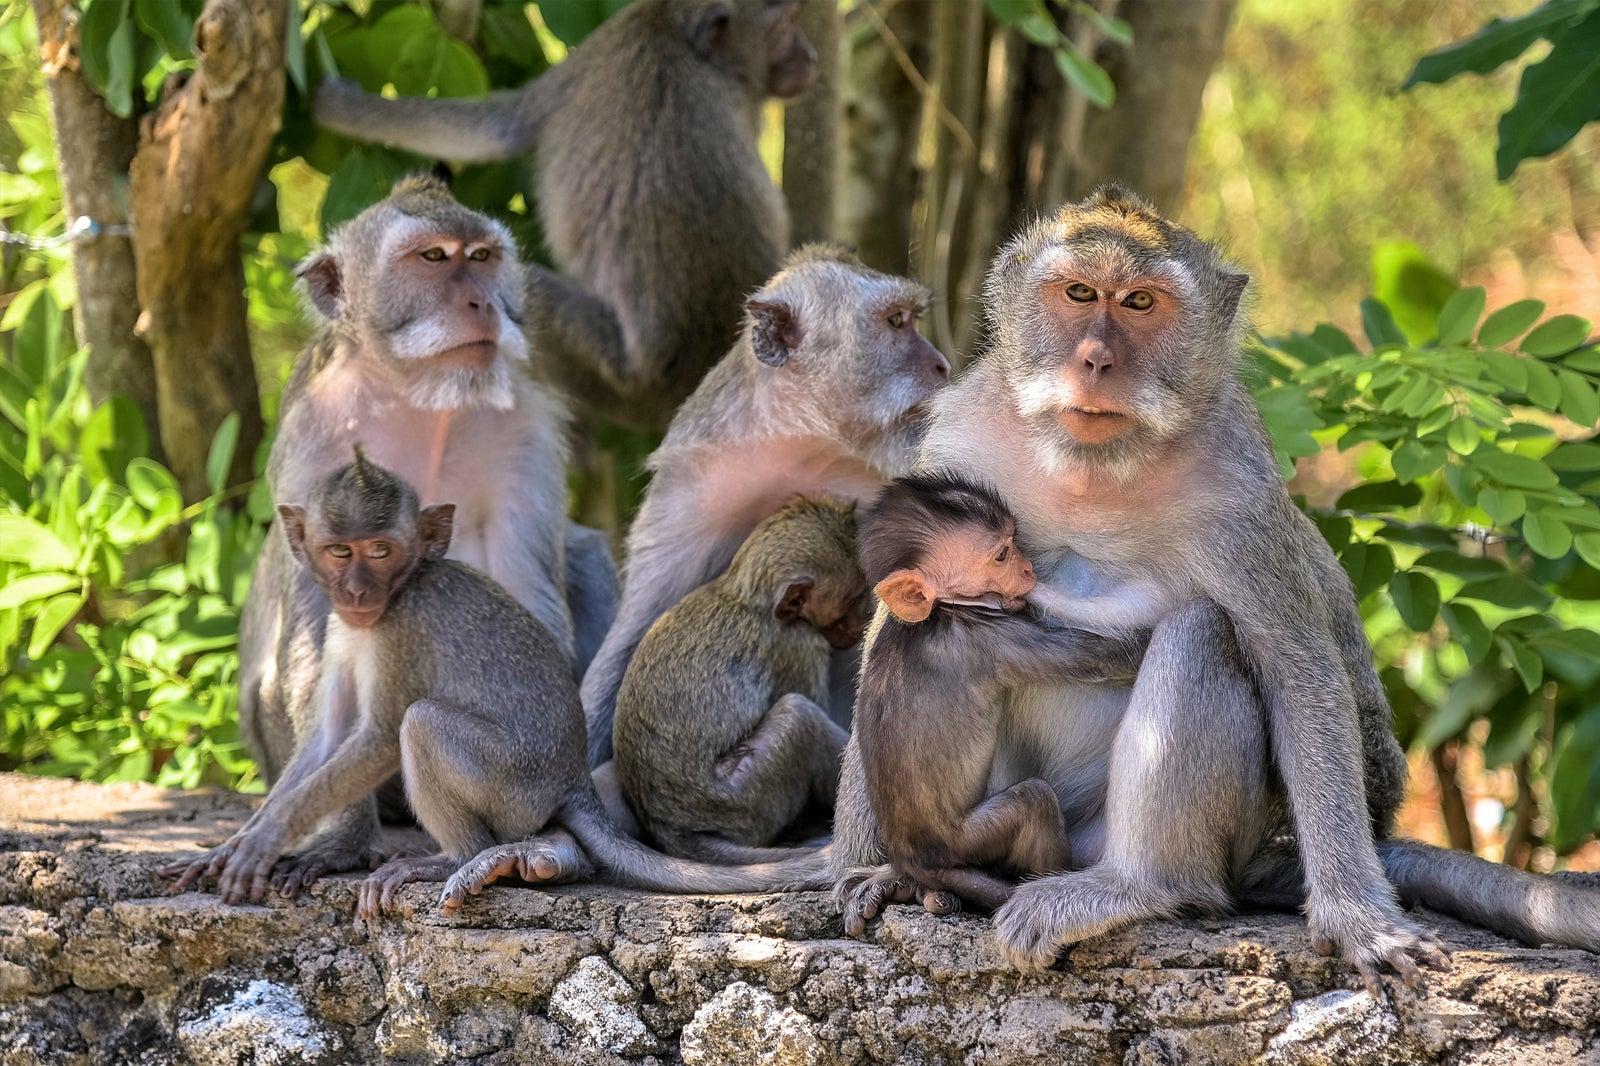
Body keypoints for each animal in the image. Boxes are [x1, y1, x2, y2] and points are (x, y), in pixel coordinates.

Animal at [313, 1, 819, 422]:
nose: (811, 55)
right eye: (789, 22)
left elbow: (496, 127)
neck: (678, 34)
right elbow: (498, 126)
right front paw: (341, 104)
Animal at [582, 246, 947, 765]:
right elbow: (638, 632)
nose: (941, 364)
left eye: (910, 318)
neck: (804, 441)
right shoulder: (690, 493)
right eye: (896, 322)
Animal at [611, 492, 870, 857]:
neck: (749, 596)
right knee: (799, 716)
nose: (862, 623)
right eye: (855, 598)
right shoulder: (797, 645)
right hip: (744, 799)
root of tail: (671, 827)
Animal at [851, 473, 1152, 915]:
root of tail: (911, 857)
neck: (941, 610)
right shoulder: (993, 638)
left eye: (1013, 542)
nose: (1028, 568)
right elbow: (1102, 659)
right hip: (966, 840)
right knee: (1033, 800)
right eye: (1002, 555)